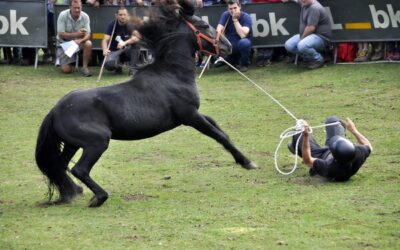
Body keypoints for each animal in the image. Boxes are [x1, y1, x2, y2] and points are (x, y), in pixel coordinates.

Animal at [36, 0, 258, 208]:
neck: (172, 74)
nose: (228, 46)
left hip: (73, 144)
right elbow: (218, 135)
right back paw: (98, 197)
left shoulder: (195, 114)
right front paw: (248, 162)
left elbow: (220, 130)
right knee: (79, 169)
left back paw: (74, 191)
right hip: (97, 142)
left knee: (60, 166)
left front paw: (243, 160)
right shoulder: (190, 116)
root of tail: (55, 110)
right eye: (204, 25)